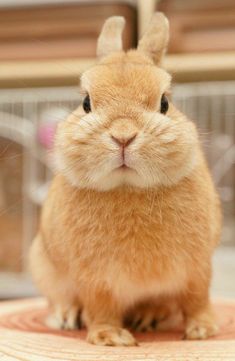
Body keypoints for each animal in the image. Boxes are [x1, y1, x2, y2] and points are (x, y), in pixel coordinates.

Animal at [28, 13, 221, 346]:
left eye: (164, 103)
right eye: (86, 103)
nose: (123, 136)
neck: (129, 188)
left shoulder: (198, 267)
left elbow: (197, 299)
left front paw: (203, 331)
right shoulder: (94, 278)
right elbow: (101, 307)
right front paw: (111, 337)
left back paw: (149, 316)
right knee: (61, 301)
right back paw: (68, 316)